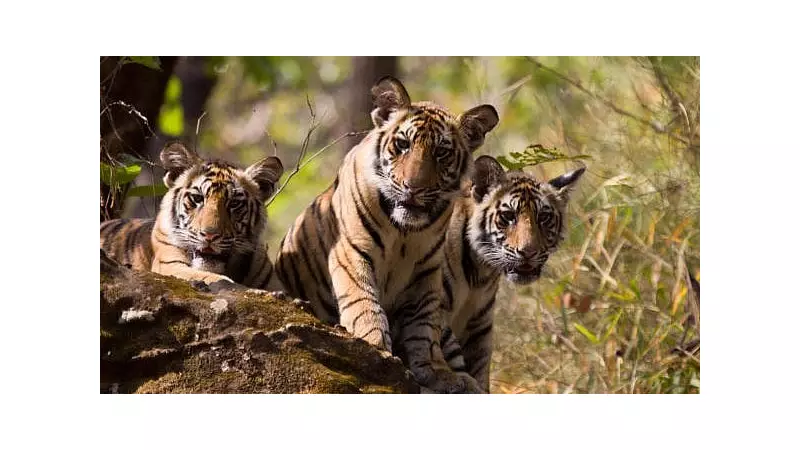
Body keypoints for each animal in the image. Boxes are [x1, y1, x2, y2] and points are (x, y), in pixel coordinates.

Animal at [275, 76, 499, 393]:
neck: (405, 232)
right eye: (403, 145)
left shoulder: (427, 271)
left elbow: (424, 326)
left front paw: (435, 371)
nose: (413, 187)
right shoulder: (351, 251)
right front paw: (375, 348)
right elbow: (363, 302)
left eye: (441, 153)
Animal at [439, 155, 585, 392]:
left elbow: (479, 364)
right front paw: (461, 382)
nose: (528, 252)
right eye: (508, 216)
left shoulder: (479, 323)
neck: (479, 271)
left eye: (543, 217)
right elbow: (447, 346)